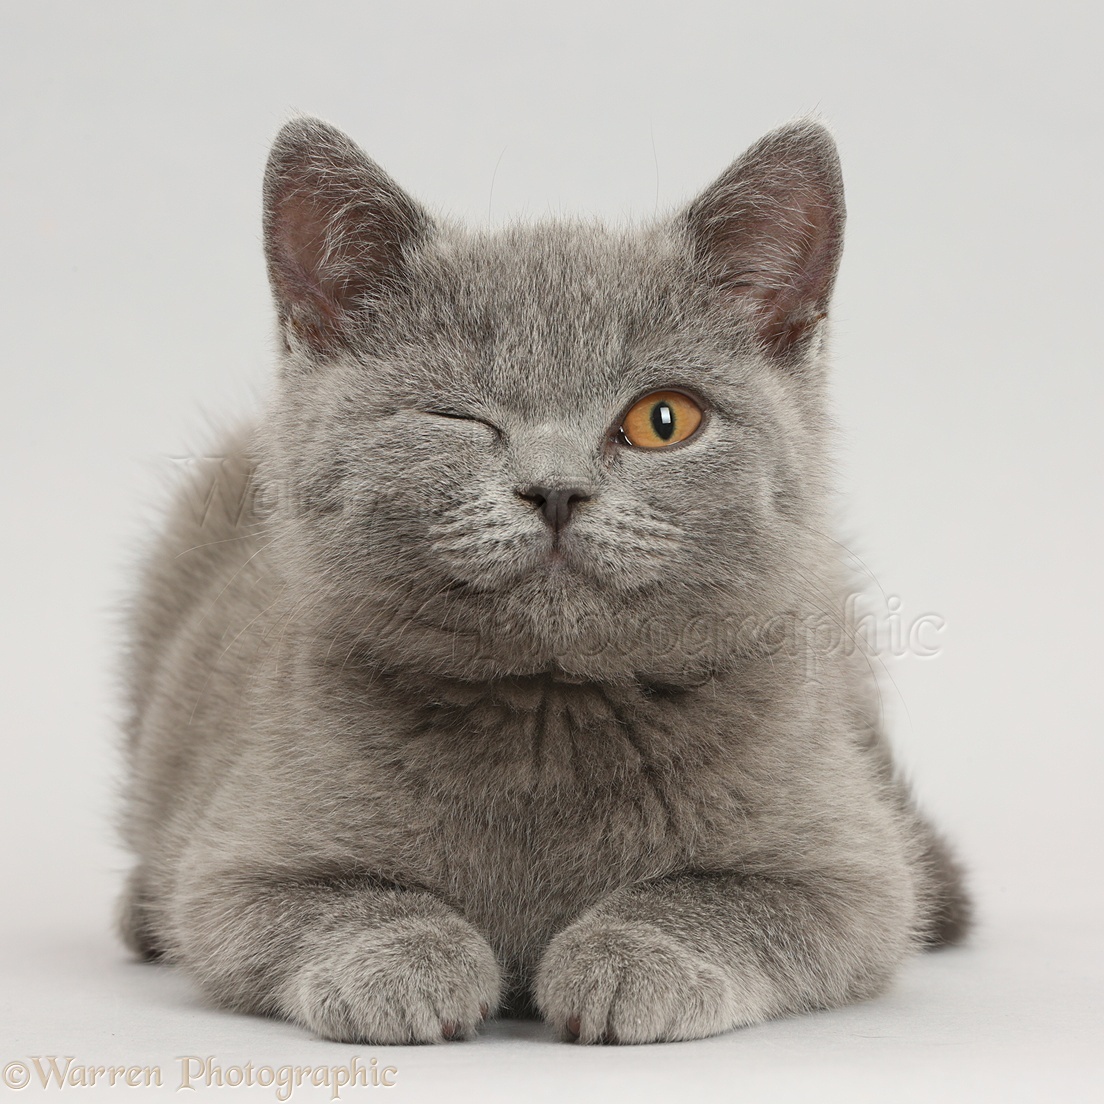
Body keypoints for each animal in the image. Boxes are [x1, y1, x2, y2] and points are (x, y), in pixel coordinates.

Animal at [116, 116, 971, 1046]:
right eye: (455, 416)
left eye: (663, 419)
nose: (555, 489)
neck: (547, 712)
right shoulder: (234, 862)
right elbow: (325, 902)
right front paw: (407, 964)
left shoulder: (853, 871)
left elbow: (726, 900)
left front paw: (633, 960)